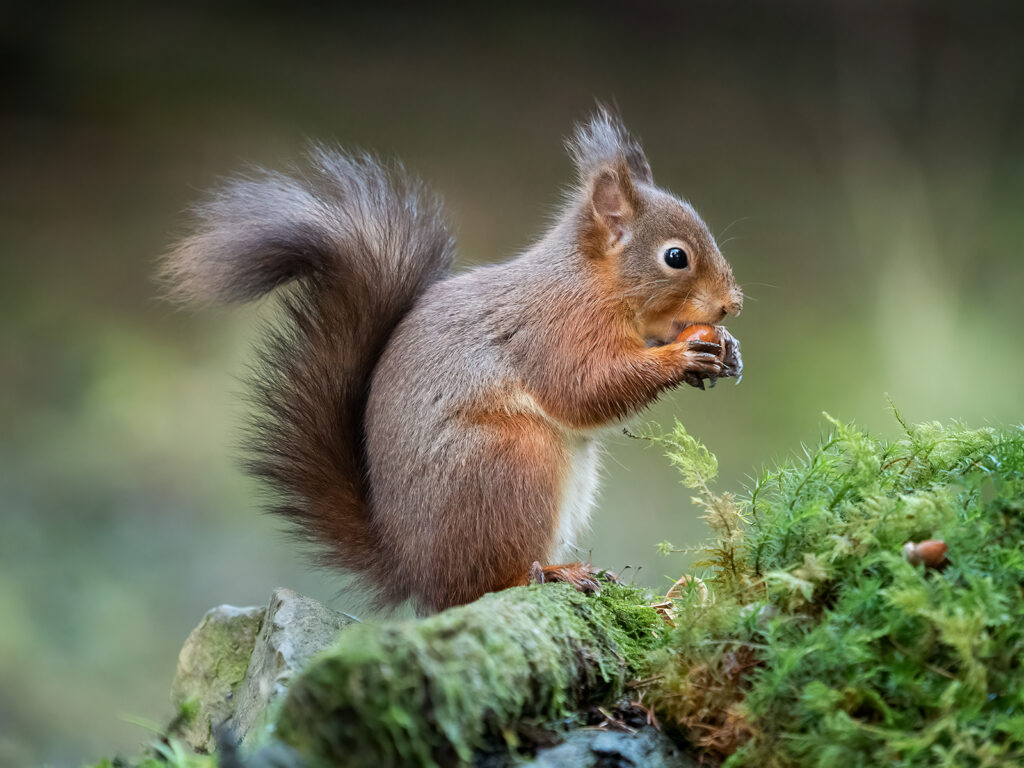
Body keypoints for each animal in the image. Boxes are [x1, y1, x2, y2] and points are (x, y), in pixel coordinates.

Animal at [167, 108, 745, 614]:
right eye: (675, 257)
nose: (731, 304)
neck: (594, 281)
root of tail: (413, 571)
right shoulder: (555, 330)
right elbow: (584, 389)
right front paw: (681, 355)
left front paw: (728, 352)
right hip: (511, 463)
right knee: (484, 585)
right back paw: (553, 574)